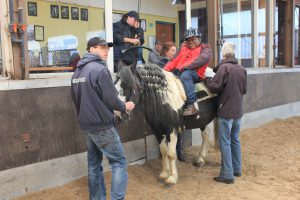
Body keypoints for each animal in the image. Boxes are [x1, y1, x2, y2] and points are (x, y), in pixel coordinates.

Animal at [117, 47, 218, 184]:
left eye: (127, 85)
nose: (117, 113)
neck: (165, 98)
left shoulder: (172, 130)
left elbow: (171, 153)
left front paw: (172, 177)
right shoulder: (158, 131)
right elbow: (163, 150)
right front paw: (164, 174)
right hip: (202, 120)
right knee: (206, 134)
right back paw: (200, 159)